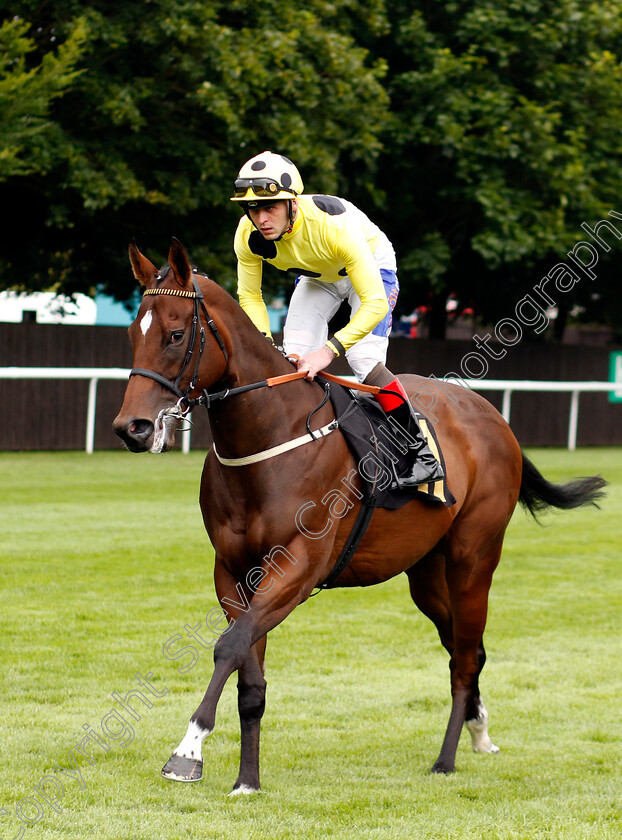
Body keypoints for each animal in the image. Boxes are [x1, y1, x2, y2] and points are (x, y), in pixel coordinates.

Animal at [114, 238, 608, 796]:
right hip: (425, 571)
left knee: (465, 654)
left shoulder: (299, 569)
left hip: (473, 557)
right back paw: (480, 730)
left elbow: (227, 647)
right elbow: (249, 675)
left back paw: (447, 758)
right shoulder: (235, 572)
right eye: (133, 334)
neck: (270, 436)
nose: (131, 427)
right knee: (463, 644)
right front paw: (247, 780)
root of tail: (494, 417)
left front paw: (188, 750)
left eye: (176, 335)